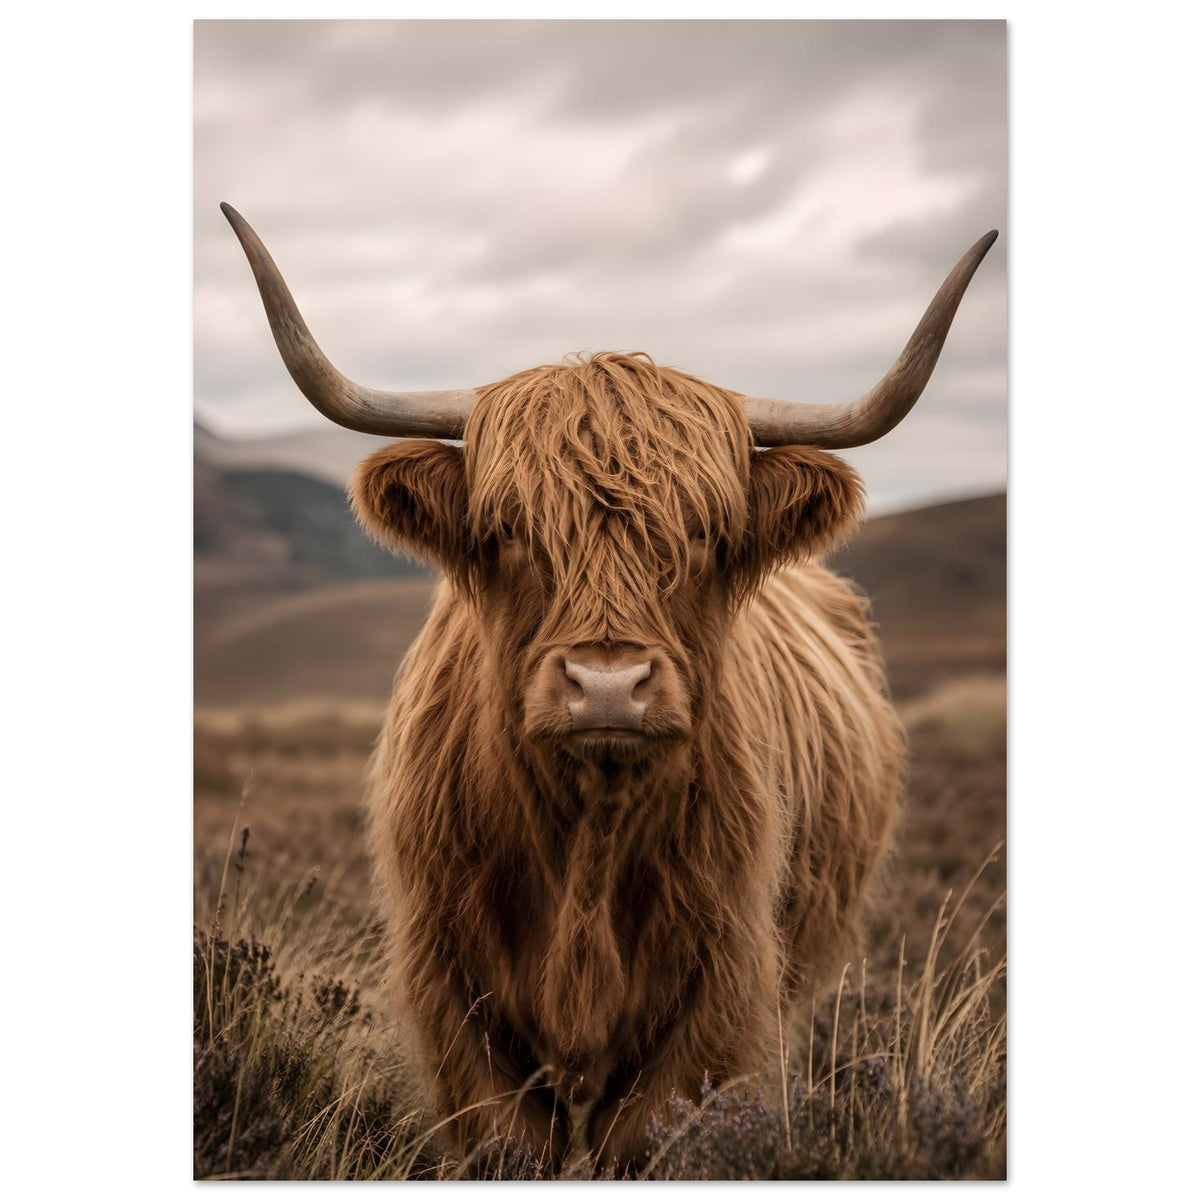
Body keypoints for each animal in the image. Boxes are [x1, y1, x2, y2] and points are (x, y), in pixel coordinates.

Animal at [221, 203, 997, 1172]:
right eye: (509, 528)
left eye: (704, 533)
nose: (607, 686)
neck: (588, 837)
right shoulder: (458, 1007)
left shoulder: (714, 1010)